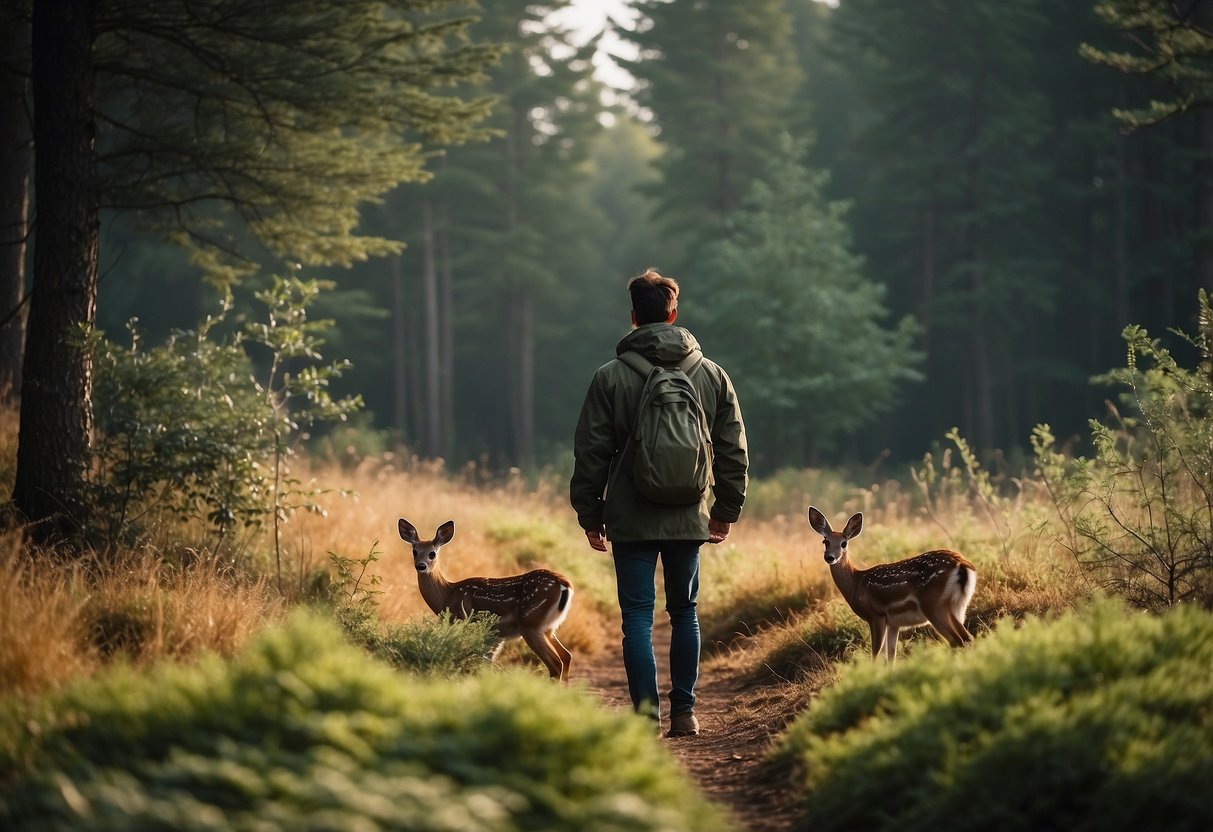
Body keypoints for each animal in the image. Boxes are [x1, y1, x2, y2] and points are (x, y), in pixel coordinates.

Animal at [393, 521, 572, 684]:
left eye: (432, 554)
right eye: (415, 551)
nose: (421, 566)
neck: (447, 594)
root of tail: (564, 584)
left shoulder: (462, 619)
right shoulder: (495, 636)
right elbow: (486, 663)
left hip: (530, 623)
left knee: (556, 664)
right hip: (548, 628)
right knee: (567, 656)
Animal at [805, 509, 975, 664]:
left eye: (844, 543)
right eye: (825, 541)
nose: (830, 557)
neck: (856, 583)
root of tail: (962, 564)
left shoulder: (876, 615)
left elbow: (876, 654)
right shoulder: (893, 623)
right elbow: (891, 657)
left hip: (933, 604)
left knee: (956, 640)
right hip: (956, 605)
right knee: (967, 637)